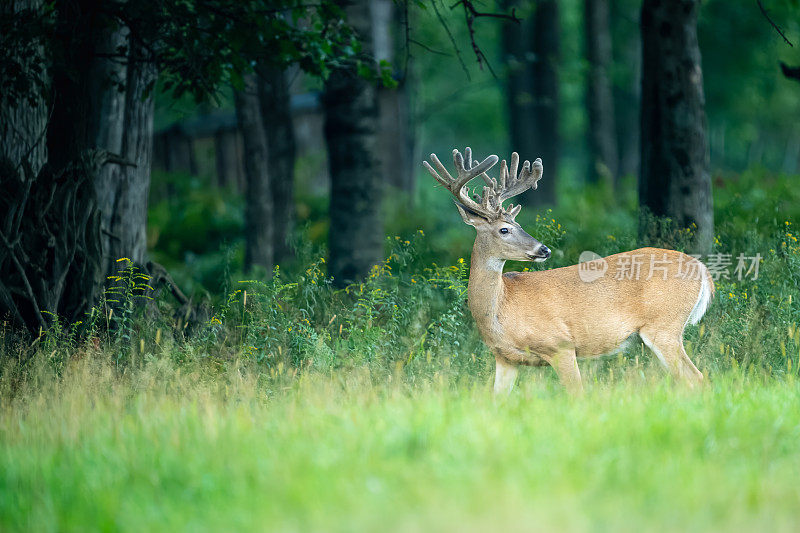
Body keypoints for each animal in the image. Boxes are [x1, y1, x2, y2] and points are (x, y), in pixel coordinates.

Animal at [424, 148, 712, 392]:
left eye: (518, 224)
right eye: (504, 229)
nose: (544, 249)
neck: (500, 310)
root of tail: (702, 270)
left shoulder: (560, 345)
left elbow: (577, 393)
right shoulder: (505, 358)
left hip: (664, 324)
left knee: (696, 378)